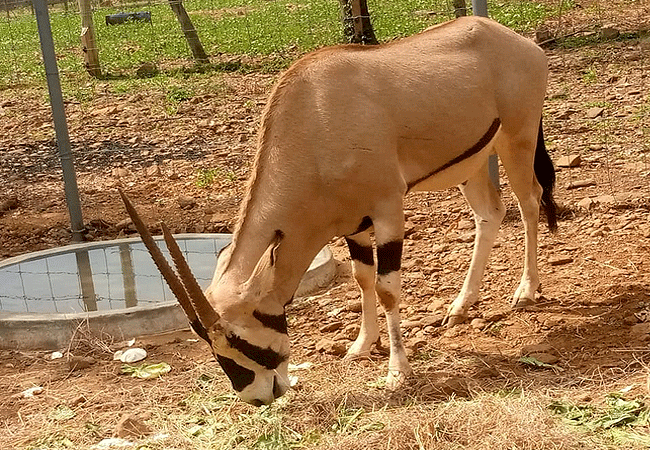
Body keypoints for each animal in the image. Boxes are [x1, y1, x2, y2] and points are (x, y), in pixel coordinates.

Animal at [120, 16, 557, 406]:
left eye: (239, 338)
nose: (257, 398)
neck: (316, 116)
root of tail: (519, 42)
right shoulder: (353, 223)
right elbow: (362, 280)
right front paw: (361, 345)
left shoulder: (387, 211)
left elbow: (386, 288)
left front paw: (398, 371)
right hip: (473, 162)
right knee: (490, 213)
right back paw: (460, 306)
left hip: (517, 140)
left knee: (529, 202)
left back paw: (526, 291)